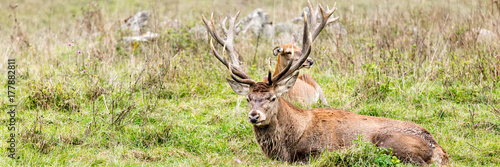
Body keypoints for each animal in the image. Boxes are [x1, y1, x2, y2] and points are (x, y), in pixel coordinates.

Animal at [202, 2, 450, 166]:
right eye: (248, 98)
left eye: (272, 98)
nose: (254, 116)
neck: (288, 144)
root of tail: (438, 147)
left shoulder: (317, 152)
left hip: (391, 143)